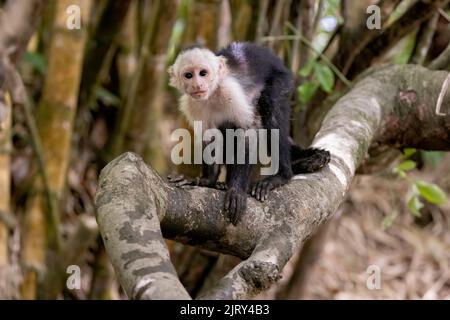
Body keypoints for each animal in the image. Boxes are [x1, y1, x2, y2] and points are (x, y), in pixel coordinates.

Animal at [167, 42, 328, 225]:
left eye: (203, 73)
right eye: (188, 75)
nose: (198, 85)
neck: (213, 94)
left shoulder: (230, 92)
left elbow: (248, 131)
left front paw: (236, 190)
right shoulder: (192, 105)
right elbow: (212, 137)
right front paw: (206, 181)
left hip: (282, 78)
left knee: (270, 105)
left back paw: (283, 175)